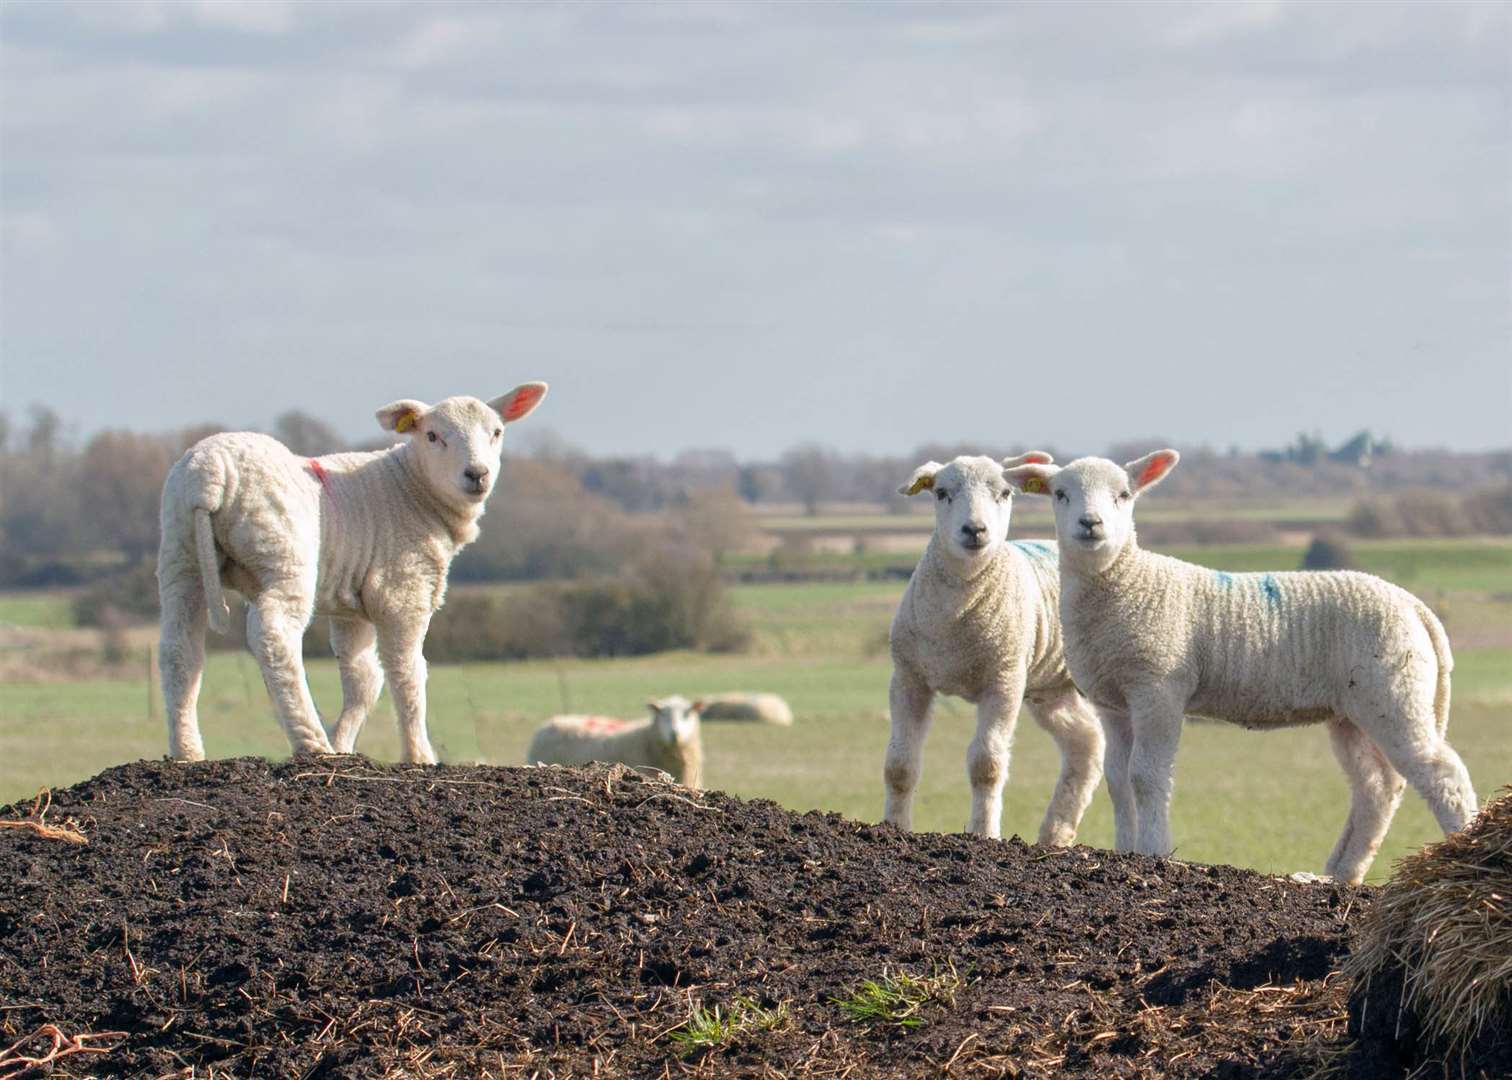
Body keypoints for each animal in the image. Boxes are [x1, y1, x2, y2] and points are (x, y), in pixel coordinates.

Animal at [153, 382, 553, 762]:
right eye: (432, 436)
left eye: (496, 432)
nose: (477, 474)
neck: (411, 487)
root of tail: (209, 473)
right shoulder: (403, 588)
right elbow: (407, 671)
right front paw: (418, 755)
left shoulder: (351, 605)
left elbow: (363, 679)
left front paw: (345, 743)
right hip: (282, 554)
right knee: (274, 634)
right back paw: (312, 742)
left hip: (180, 554)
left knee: (178, 648)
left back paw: (187, 751)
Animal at [883, 450, 1106, 847]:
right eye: (941, 493)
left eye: (1005, 493)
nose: (975, 530)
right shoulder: (909, 678)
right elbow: (900, 765)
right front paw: (893, 829)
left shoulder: (1003, 680)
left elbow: (986, 765)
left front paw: (984, 833)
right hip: (1052, 689)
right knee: (1087, 742)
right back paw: (1056, 834)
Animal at [1003, 450, 1475, 877]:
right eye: (1060, 494)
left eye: (1124, 495)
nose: (1091, 524)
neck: (1123, 581)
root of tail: (1416, 607)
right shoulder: (1113, 701)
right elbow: (1118, 780)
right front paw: (1125, 850)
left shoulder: (1159, 687)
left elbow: (1147, 776)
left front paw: (1154, 851)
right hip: (1354, 709)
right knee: (1377, 787)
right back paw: (1342, 873)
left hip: (1395, 689)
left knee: (1443, 773)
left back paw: (1463, 850)